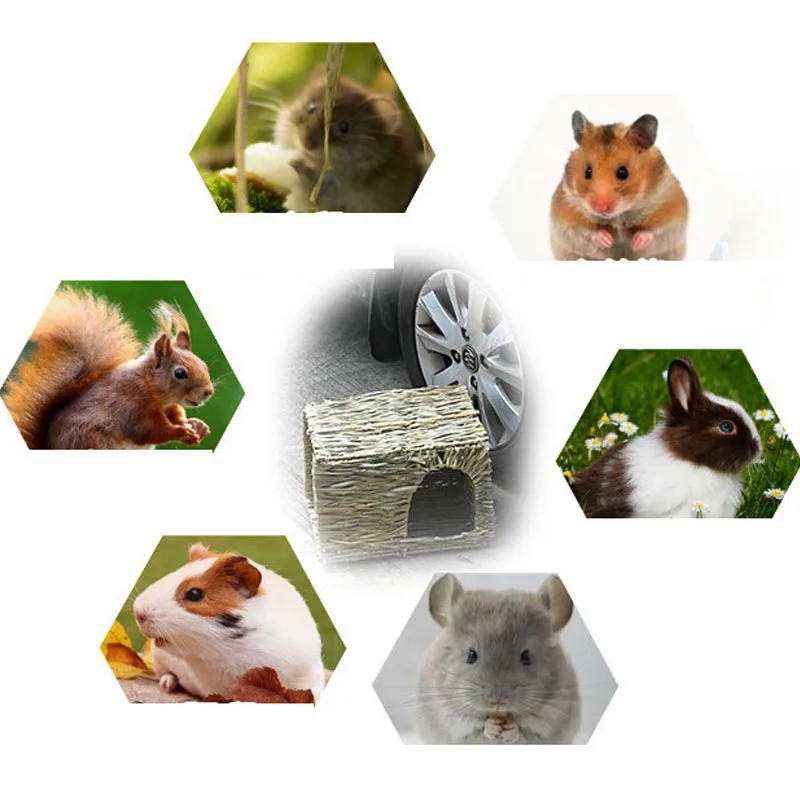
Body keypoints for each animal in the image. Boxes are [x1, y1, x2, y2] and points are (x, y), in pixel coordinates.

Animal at [415, 574, 581, 745]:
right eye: (471, 655)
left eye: (526, 657)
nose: (498, 702)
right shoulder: (449, 715)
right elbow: (472, 724)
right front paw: (492, 727)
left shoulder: (552, 715)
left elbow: (526, 728)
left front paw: (510, 730)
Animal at [550, 111, 688, 260]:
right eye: (587, 172)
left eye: (623, 172)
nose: (600, 208)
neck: (619, 216)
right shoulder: (567, 214)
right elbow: (585, 230)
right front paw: (607, 240)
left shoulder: (671, 209)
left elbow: (655, 230)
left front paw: (636, 242)